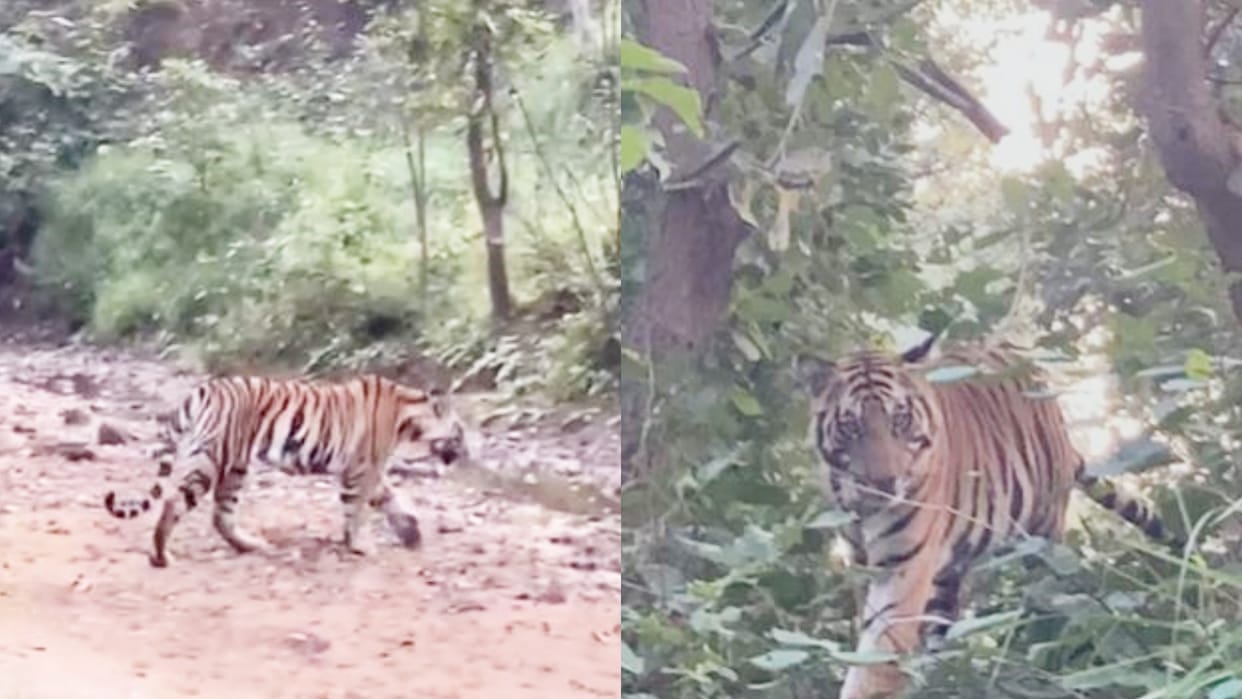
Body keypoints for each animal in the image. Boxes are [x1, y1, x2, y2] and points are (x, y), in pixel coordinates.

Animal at [103, 374, 469, 568]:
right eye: (459, 433)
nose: (463, 454)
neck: (408, 416)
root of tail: (203, 390)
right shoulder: (359, 469)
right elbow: (358, 509)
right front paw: (359, 545)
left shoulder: (369, 469)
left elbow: (390, 497)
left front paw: (411, 531)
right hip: (210, 459)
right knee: (175, 502)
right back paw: (161, 555)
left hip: (236, 466)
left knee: (221, 516)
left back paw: (252, 546)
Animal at [796, 334, 1177, 699]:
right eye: (852, 427)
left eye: (899, 421)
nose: (884, 483)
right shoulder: (862, 566)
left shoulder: (900, 570)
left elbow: (877, 659)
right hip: (949, 573)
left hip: (1043, 542)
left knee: (1053, 599)